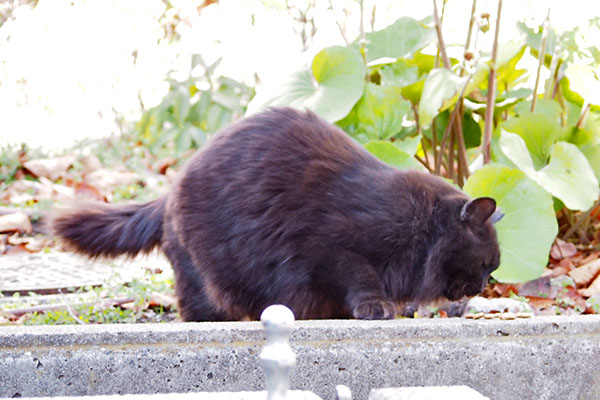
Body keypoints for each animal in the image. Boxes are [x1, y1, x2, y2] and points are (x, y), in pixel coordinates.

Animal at [50, 107, 502, 322]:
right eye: (486, 264)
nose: (483, 286)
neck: (418, 226)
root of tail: (173, 185)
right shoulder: (336, 248)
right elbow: (362, 278)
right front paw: (377, 306)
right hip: (208, 275)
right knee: (197, 304)